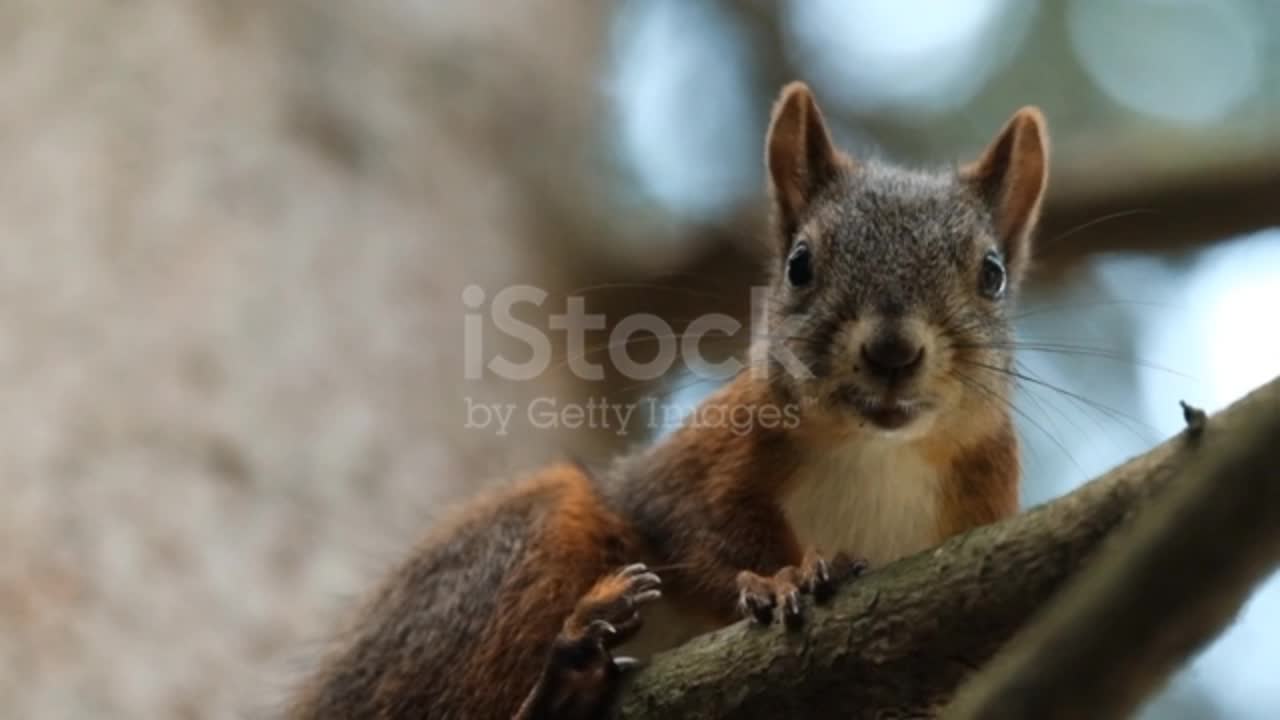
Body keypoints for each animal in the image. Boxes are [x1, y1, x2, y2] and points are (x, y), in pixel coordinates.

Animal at [288, 81, 1049, 717]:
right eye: (800, 264)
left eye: (992, 273)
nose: (892, 352)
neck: (877, 453)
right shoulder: (704, 460)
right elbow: (694, 528)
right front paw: (781, 580)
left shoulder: (984, 507)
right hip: (519, 554)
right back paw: (565, 677)